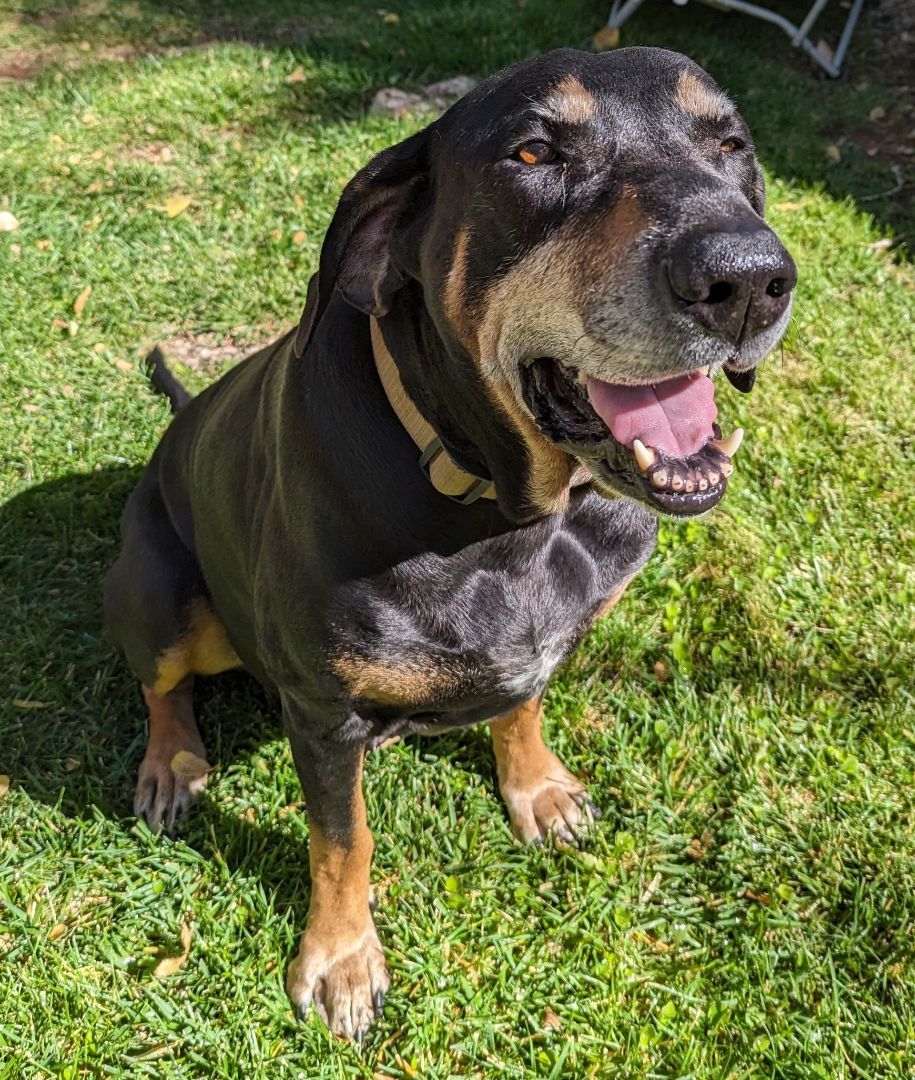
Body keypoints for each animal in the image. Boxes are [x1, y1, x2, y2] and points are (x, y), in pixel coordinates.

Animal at [103, 48, 799, 1036]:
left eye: (730, 141)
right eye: (534, 151)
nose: (746, 279)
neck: (510, 518)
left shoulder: (542, 639)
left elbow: (521, 704)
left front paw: (536, 789)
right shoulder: (320, 712)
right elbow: (340, 841)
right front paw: (340, 960)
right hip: (161, 593)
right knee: (162, 684)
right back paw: (171, 765)